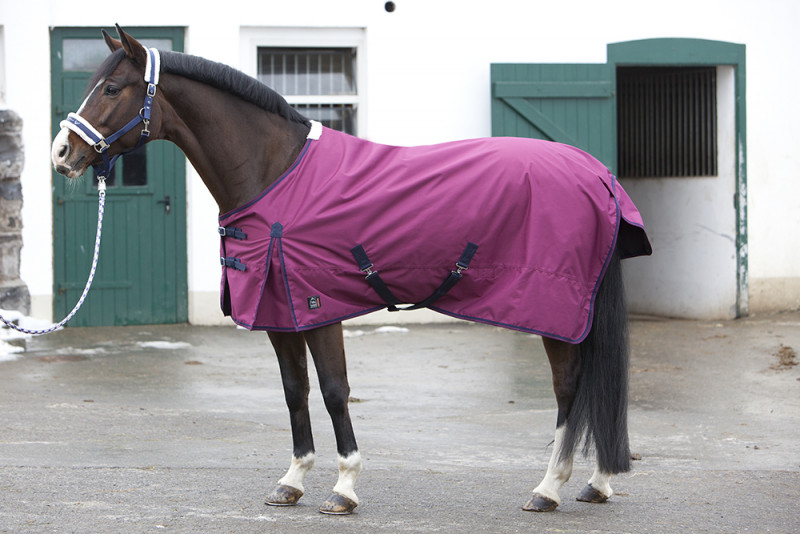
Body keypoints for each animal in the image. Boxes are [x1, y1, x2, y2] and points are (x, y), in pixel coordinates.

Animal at [50, 27, 648, 516]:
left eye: (111, 89)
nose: (61, 153)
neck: (276, 173)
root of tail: (597, 175)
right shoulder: (280, 312)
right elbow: (295, 391)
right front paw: (292, 481)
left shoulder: (319, 308)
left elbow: (335, 390)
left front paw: (344, 488)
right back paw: (596, 482)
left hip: (555, 312)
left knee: (570, 390)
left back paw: (548, 488)